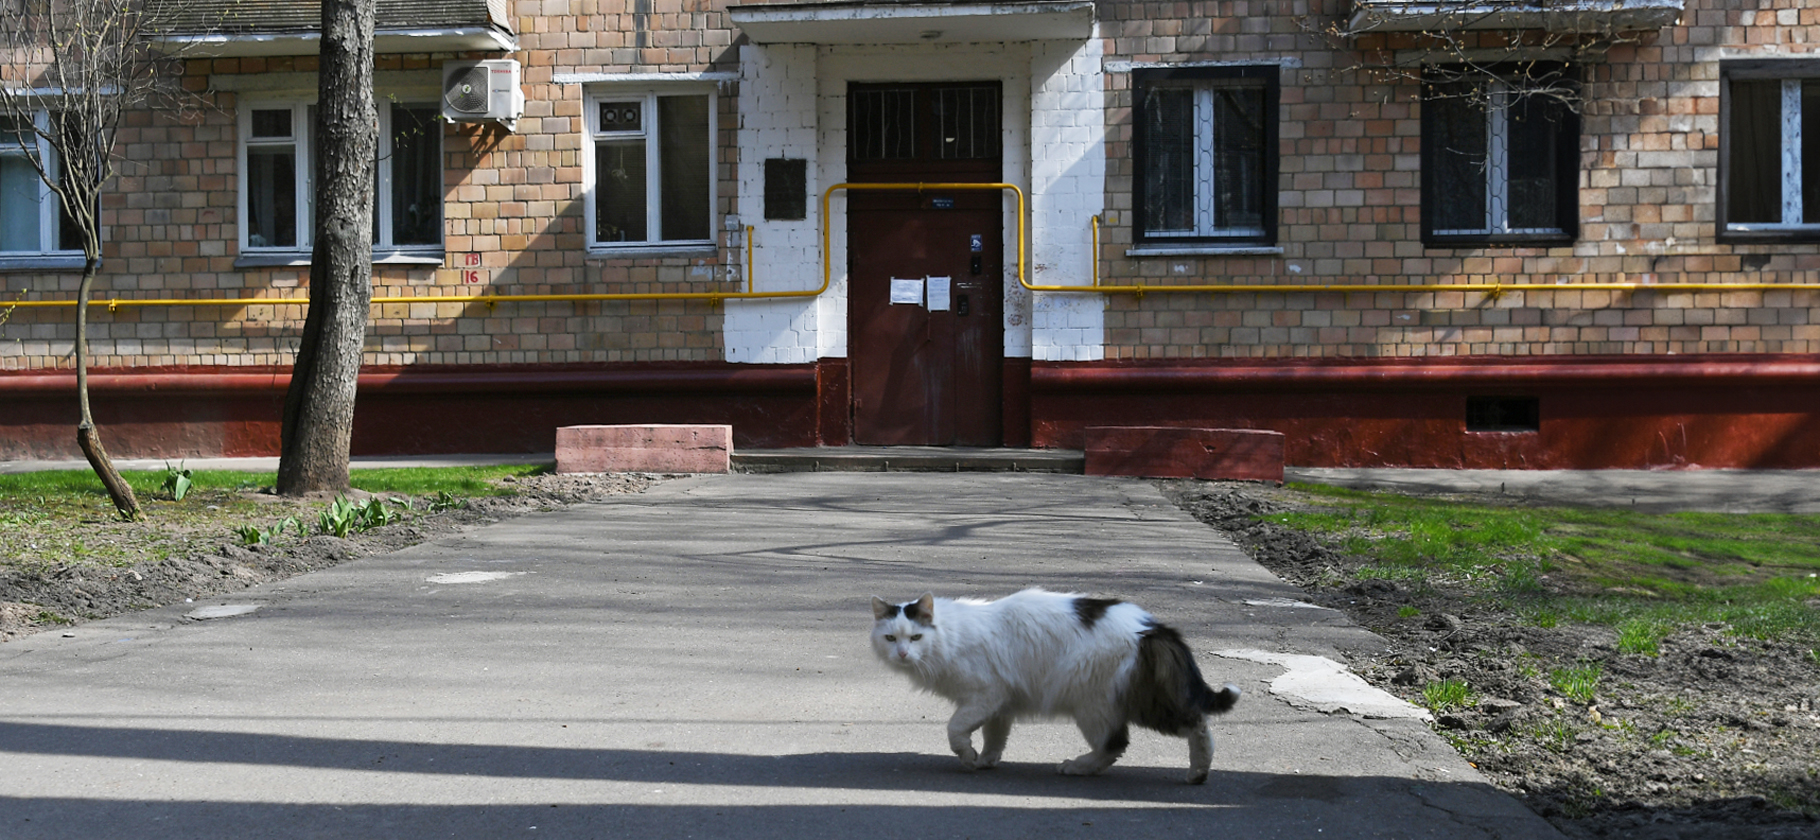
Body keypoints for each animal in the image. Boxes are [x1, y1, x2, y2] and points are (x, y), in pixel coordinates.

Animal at [866, 589, 1237, 785]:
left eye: (915, 637)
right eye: (891, 639)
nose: (902, 654)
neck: (950, 635)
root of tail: (1149, 628)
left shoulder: (985, 695)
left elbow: (955, 730)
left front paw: (968, 756)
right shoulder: (999, 706)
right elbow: (994, 739)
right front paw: (984, 760)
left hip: (1101, 705)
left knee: (1122, 743)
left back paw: (1078, 766)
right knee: (1193, 722)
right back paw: (1199, 773)